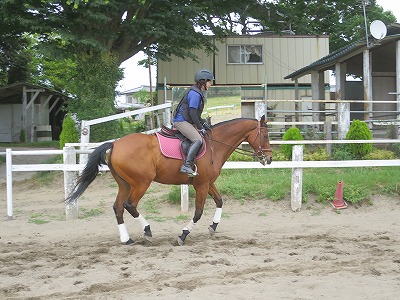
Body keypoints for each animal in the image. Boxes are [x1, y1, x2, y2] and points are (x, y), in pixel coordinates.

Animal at [66, 116, 272, 245]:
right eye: (266, 135)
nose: (269, 159)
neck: (216, 144)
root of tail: (115, 143)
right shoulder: (202, 185)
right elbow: (198, 212)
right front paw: (183, 234)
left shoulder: (207, 183)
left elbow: (220, 201)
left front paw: (213, 226)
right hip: (141, 183)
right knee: (129, 205)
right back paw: (147, 231)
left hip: (124, 184)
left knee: (118, 208)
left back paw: (127, 240)